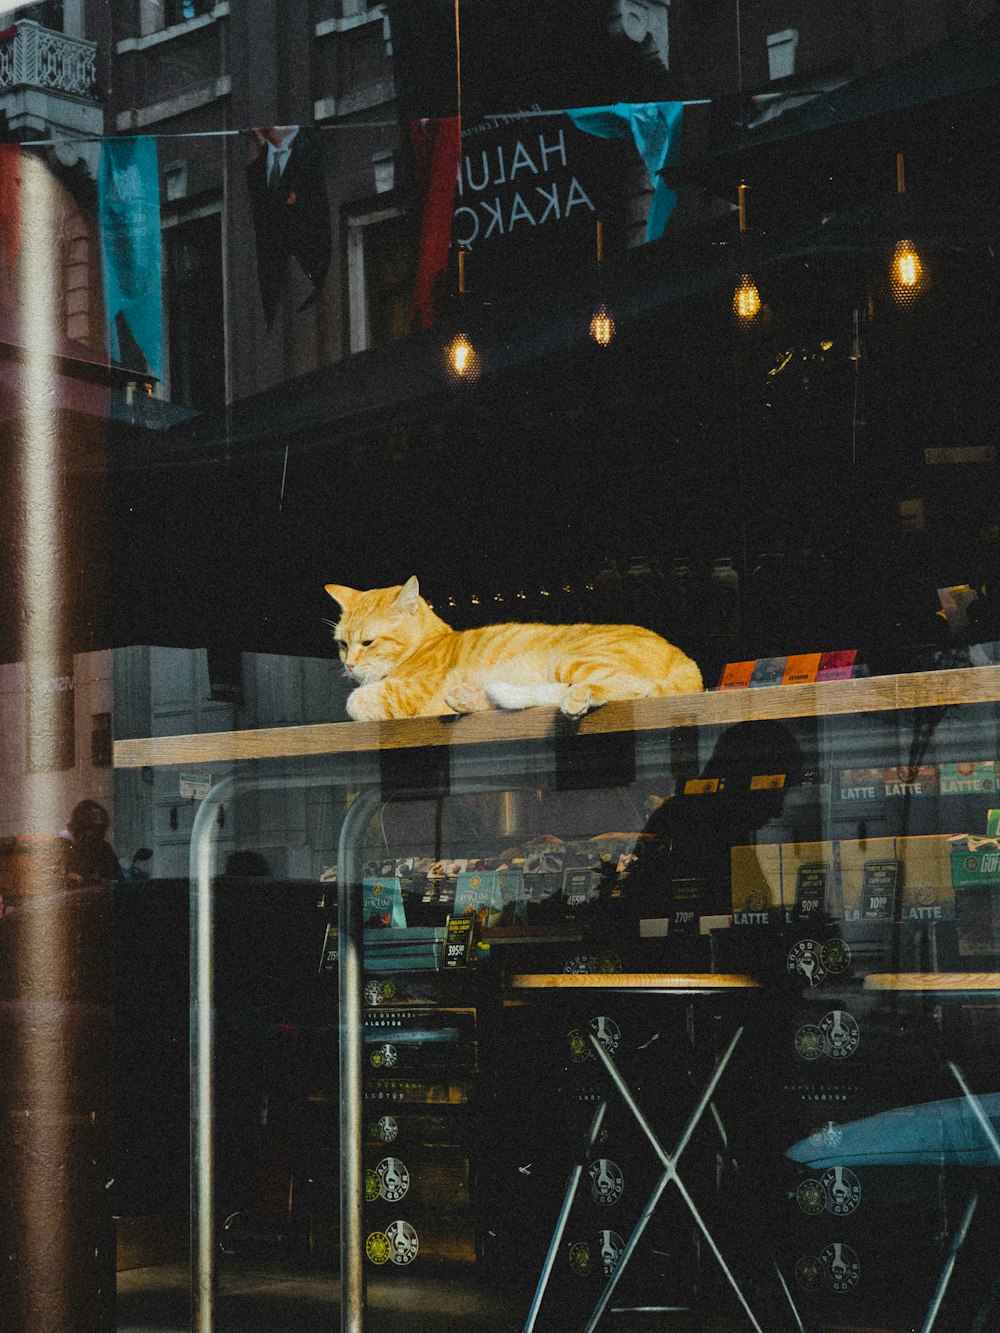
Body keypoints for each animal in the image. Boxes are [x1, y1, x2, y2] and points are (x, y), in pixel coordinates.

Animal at [325, 573, 698, 719]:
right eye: (342, 644)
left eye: (368, 643)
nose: (349, 665)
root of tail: (685, 659)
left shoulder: (408, 691)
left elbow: (357, 700)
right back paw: (470, 698)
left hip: (571, 660)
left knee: (632, 687)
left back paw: (576, 697)